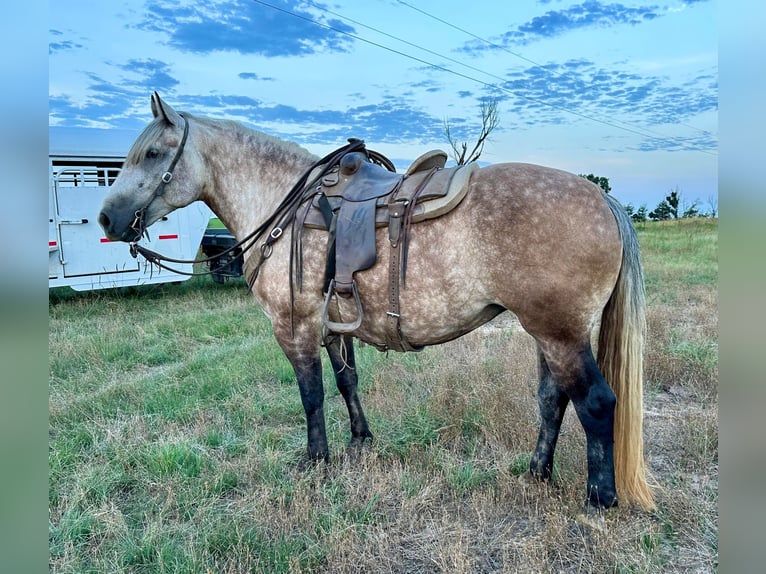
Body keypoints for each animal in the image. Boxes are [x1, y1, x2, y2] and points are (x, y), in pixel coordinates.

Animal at [100, 94, 656, 512]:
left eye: (153, 154)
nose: (108, 218)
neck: (284, 207)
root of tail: (604, 200)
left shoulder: (293, 326)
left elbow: (311, 394)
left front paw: (316, 461)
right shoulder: (331, 326)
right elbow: (346, 382)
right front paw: (359, 440)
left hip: (560, 333)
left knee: (596, 403)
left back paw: (599, 501)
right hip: (548, 333)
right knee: (552, 399)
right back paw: (536, 472)